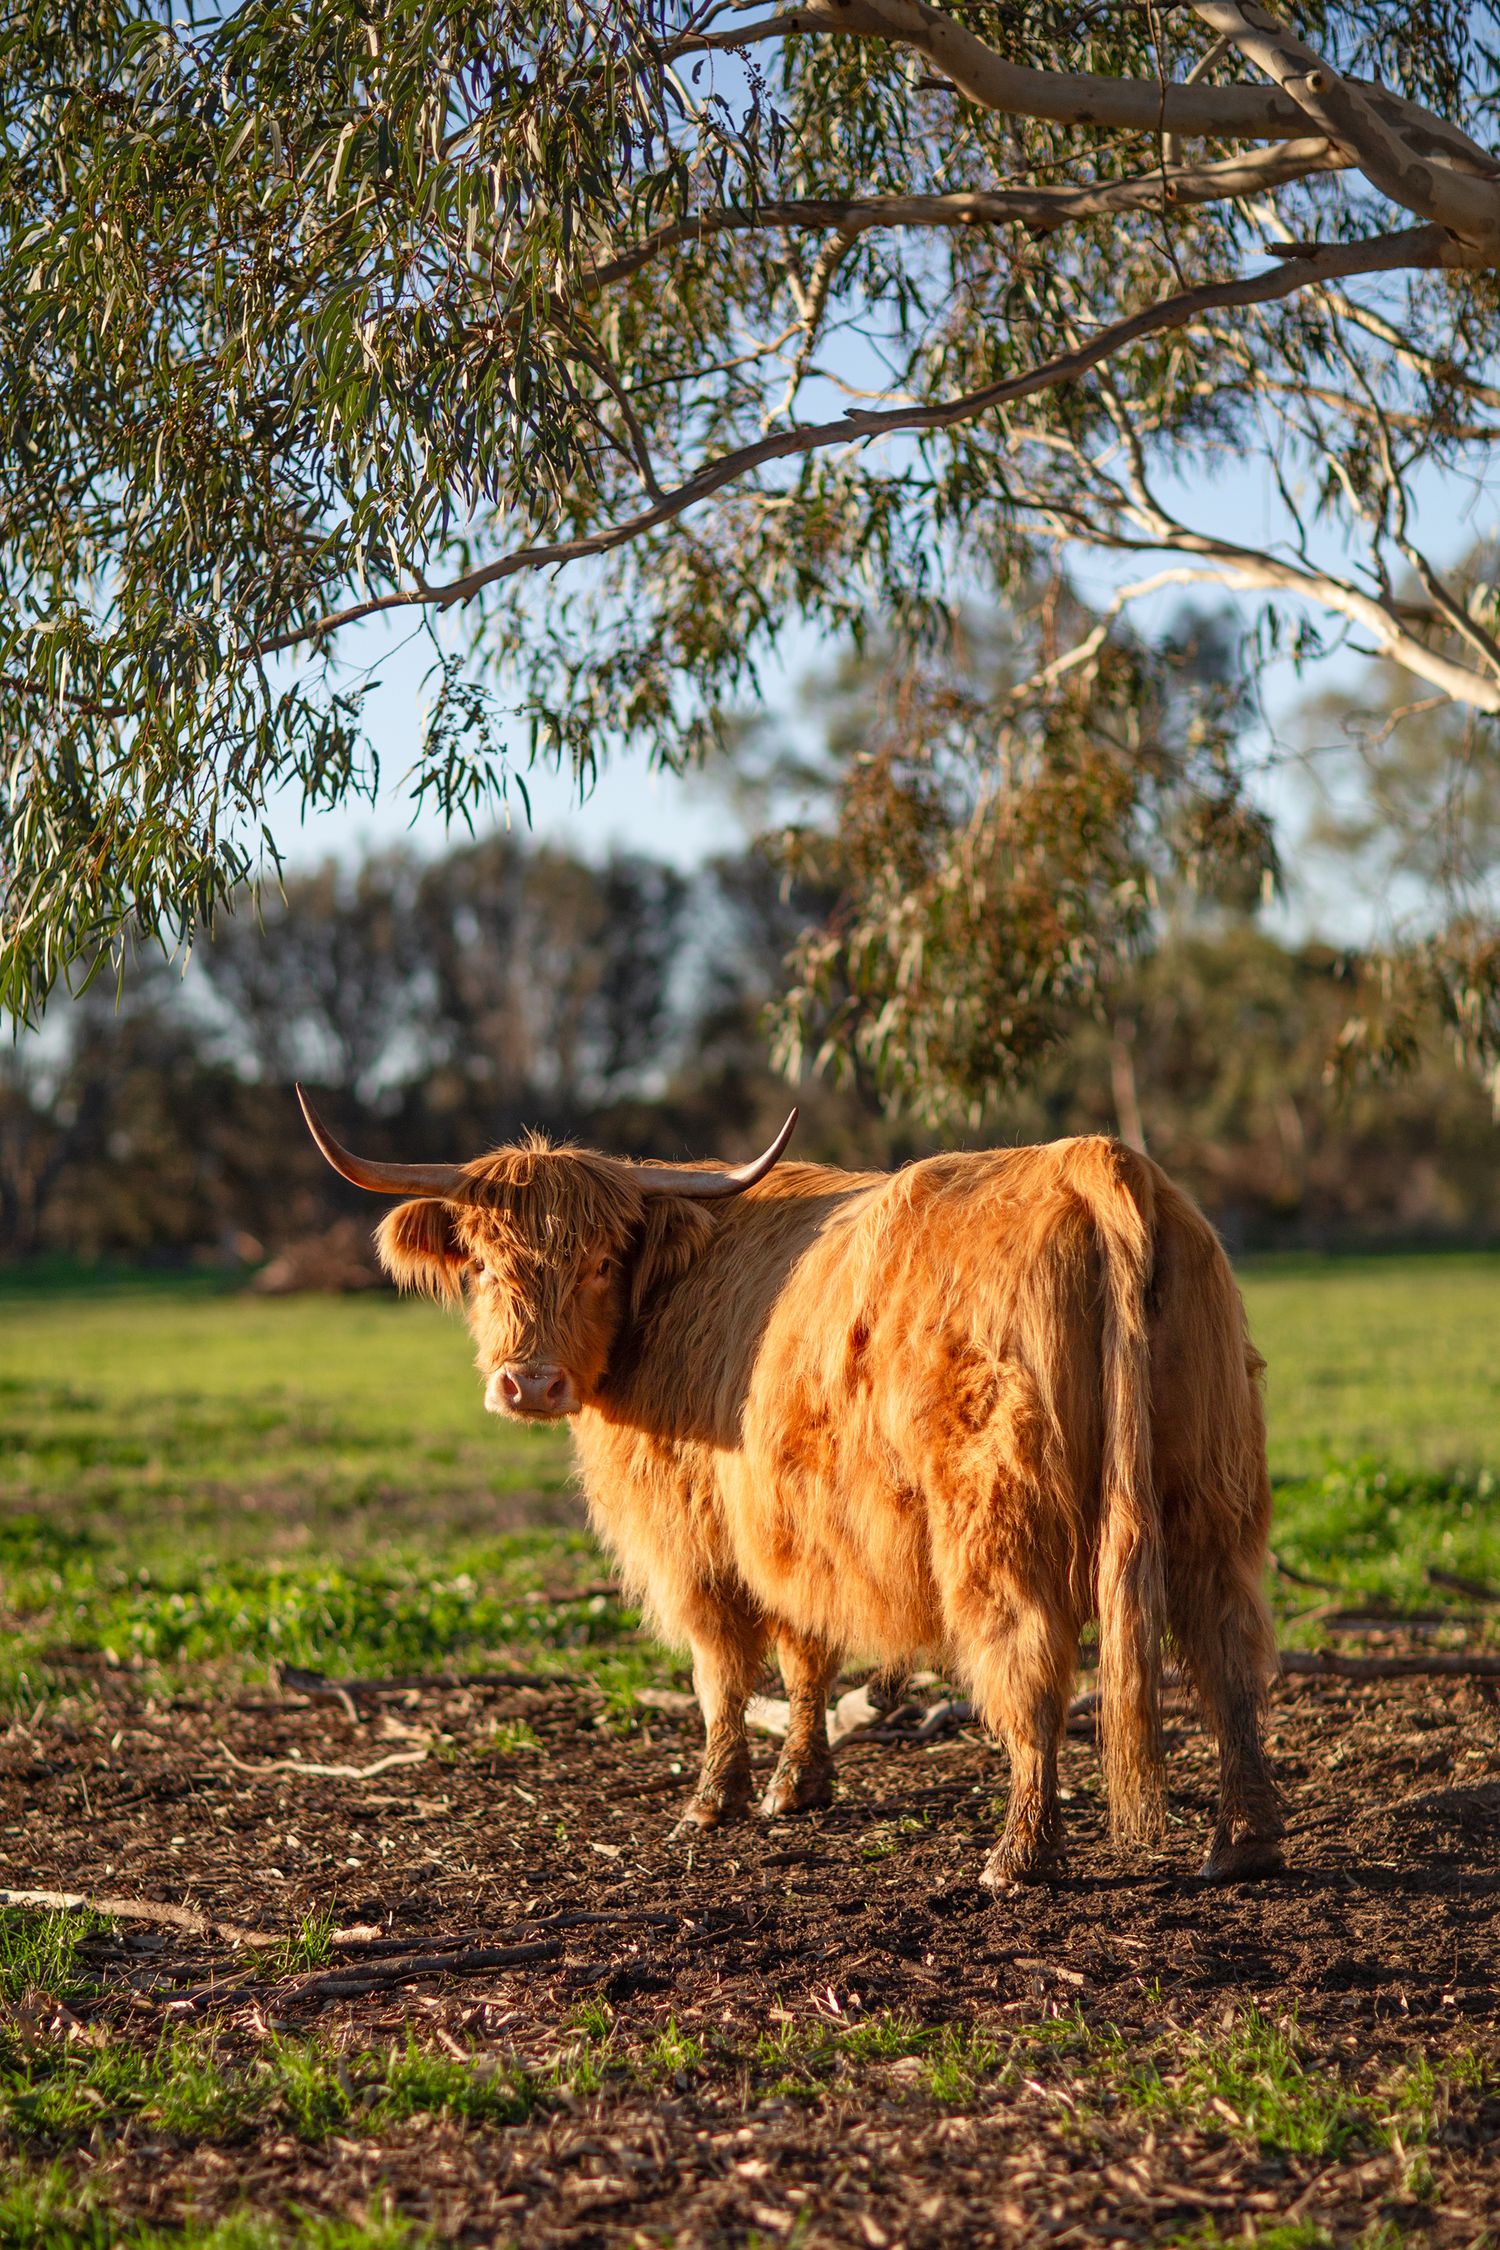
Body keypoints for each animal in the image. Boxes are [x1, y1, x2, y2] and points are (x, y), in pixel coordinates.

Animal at [298, 1091, 1284, 1889]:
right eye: (481, 1263)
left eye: (600, 1261)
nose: (528, 1384)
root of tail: (1091, 1160)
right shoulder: (799, 1528)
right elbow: (808, 1655)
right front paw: (798, 1787)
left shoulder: (696, 1535)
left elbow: (723, 1670)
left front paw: (715, 1800)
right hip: (1209, 1494)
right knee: (1228, 1651)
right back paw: (1243, 1843)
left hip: (999, 1520)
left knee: (1031, 1664)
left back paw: (1019, 1855)